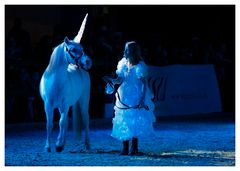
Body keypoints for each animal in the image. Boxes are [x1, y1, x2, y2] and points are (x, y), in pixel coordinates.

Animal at [39, 13, 92, 152]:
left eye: (82, 48)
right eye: (72, 49)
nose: (88, 62)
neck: (55, 82)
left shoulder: (65, 104)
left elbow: (61, 123)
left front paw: (58, 145)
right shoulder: (48, 105)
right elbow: (49, 124)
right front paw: (48, 146)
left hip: (83, 101)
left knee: (85, 120)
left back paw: (87, 145)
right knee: (66, 122)